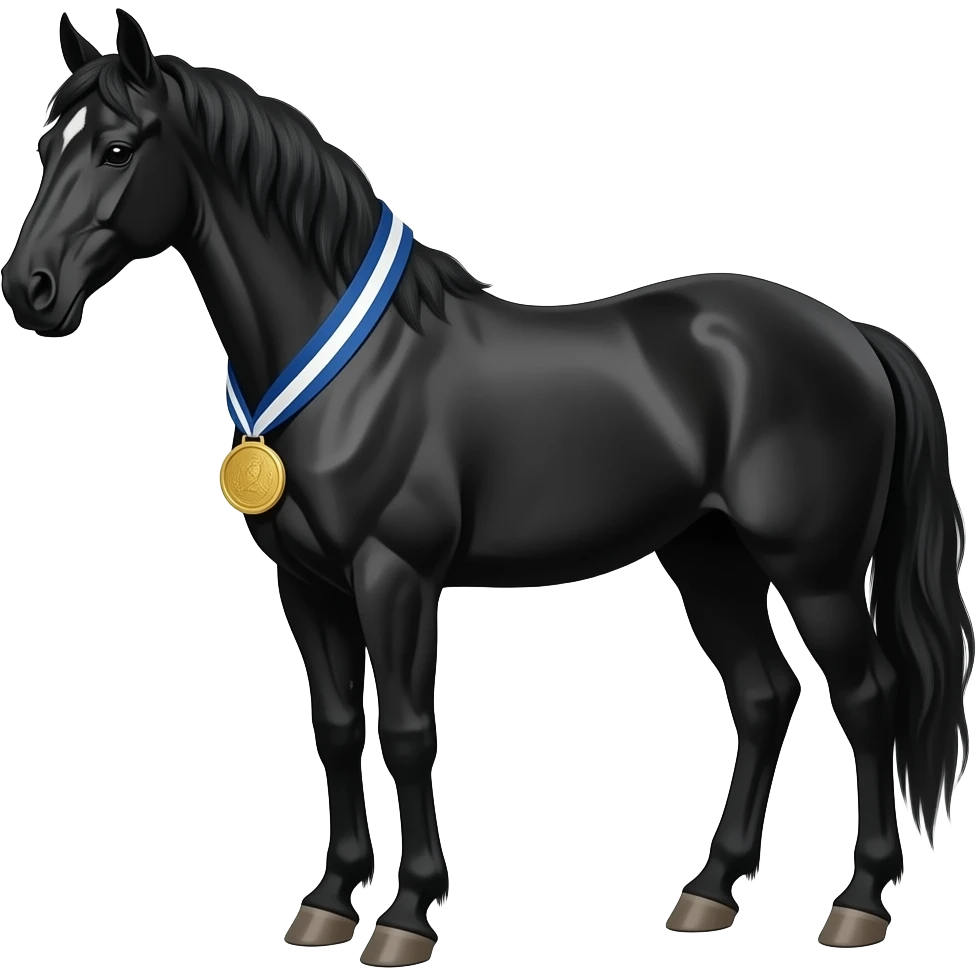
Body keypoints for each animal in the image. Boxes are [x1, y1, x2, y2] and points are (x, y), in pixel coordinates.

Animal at [3, 10, 972, 962]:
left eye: (118, 149)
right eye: (46, 143)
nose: (29, 290)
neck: (357, 369)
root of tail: (854, 336)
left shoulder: (395, 575)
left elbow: (406, 731)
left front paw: (406, 915)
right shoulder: (307, 584)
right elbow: (338, 726)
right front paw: (327, 902)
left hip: (815, 572)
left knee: (869, 699)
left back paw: (858, 904)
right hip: (711, 559)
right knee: (766, 696)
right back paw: (708, 892)